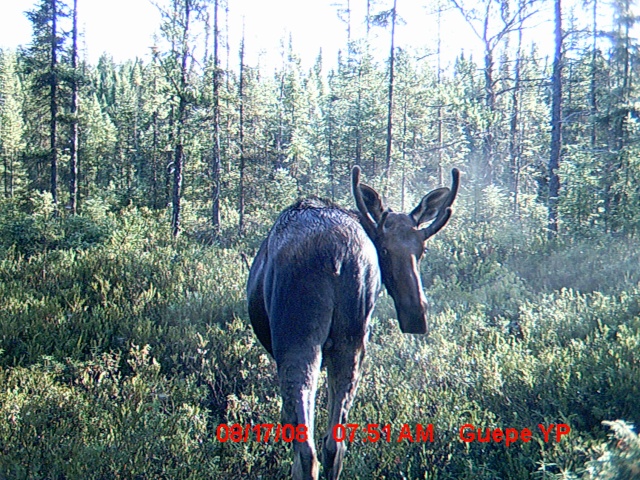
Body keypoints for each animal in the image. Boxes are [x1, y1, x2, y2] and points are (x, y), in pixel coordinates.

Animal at [246, 166, 460, 480]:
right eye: (385, 250)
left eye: (421, 250)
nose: (416, 314)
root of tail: (337, 253)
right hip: (353, 338)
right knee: (335, 444)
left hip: (297, 336)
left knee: (306, 446)